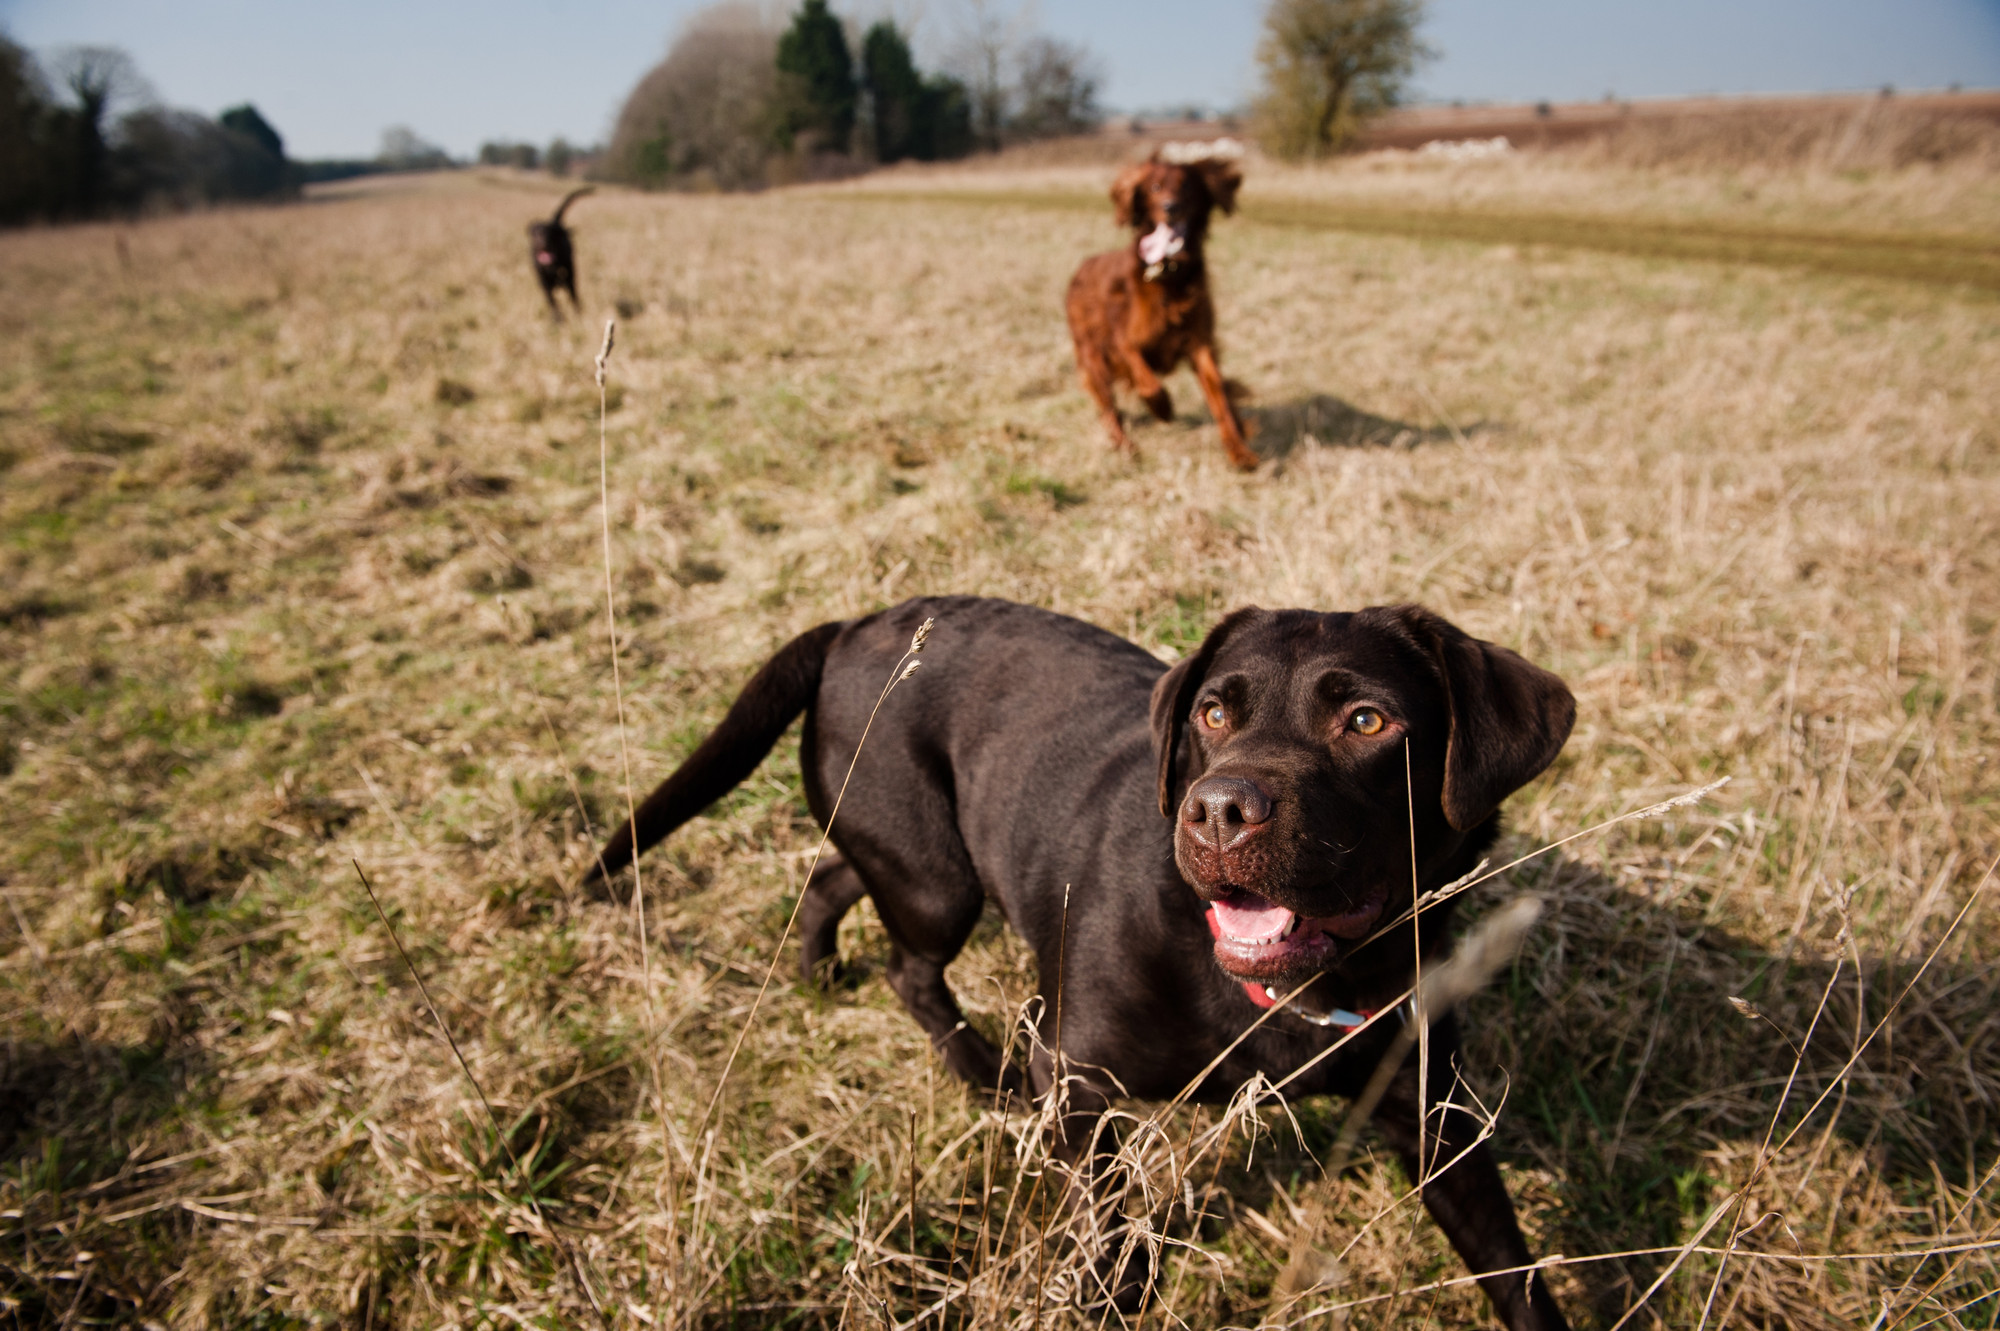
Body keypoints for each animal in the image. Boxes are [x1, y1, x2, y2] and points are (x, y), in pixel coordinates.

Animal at [528, 184, 588, 317]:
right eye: (535, 234)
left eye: (550, 233)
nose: (542, 244)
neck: (551, 266)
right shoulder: (545, 285)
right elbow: (553, 303)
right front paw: (557, 318)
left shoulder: (569, 280)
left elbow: (574, 299)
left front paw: (578, 314)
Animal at [584, 595, 1568, 1319]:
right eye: (1214, 711)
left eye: (1367, 719)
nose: (1218, 810)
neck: (1291, 992)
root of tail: (855, 623)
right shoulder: (1073, 1074)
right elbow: (1111, 1225)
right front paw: (1113, 1292)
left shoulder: (1436, 1117)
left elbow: (1514, 1272)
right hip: (937, 881)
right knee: (909, 964)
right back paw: (982, 1075)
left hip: (906, 858)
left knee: (831, 878)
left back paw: (820, 970)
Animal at [1072, 141, 1256, 465]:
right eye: (1155, 187)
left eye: (1187, 187)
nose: (1171, 207)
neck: (1170, 275)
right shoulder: (1122, 341)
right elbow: (1148, 381)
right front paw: (1164, 409)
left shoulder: (1200, 345)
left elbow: (1220, 397)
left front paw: (1238, 450)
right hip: (1092, 355)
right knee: (1108, 408)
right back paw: (1125, 446)